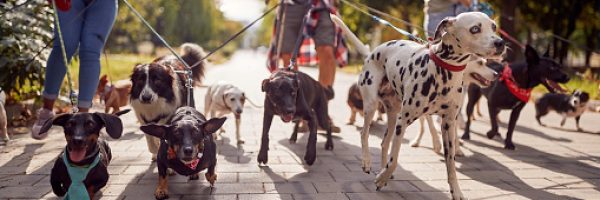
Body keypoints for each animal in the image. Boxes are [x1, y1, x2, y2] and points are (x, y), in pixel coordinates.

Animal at [330, 12, 504, 198]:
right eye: (475, 29)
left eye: (494, 26)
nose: (500, 43)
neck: (444, 72)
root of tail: (372, 52)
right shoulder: (403, 122)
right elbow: (395, 158)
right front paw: (381, 179)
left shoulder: (448, 125)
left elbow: (451, 164)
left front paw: (456, 192)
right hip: (372, 106)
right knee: (364, 133)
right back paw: (367, 162)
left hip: (393, 116)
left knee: (384, 143)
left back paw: (383, 170)